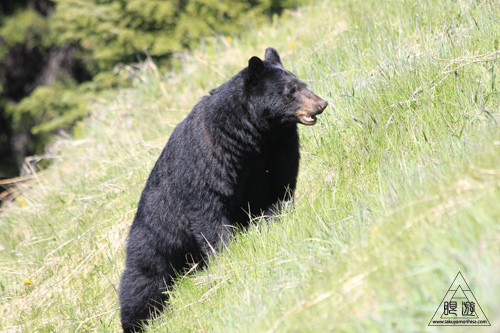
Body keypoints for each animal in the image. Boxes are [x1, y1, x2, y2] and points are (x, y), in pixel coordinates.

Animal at [118, 46, 326, 330]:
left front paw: (273, 225)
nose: (321, 103)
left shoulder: (278, 149)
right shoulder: (208, 157)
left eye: (302, 84)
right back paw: (141, 321)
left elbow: (278, 190)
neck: (252, 136)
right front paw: (229, 253)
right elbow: (208, 210)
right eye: (290, 90)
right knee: (141, 284)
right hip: (154, 244)